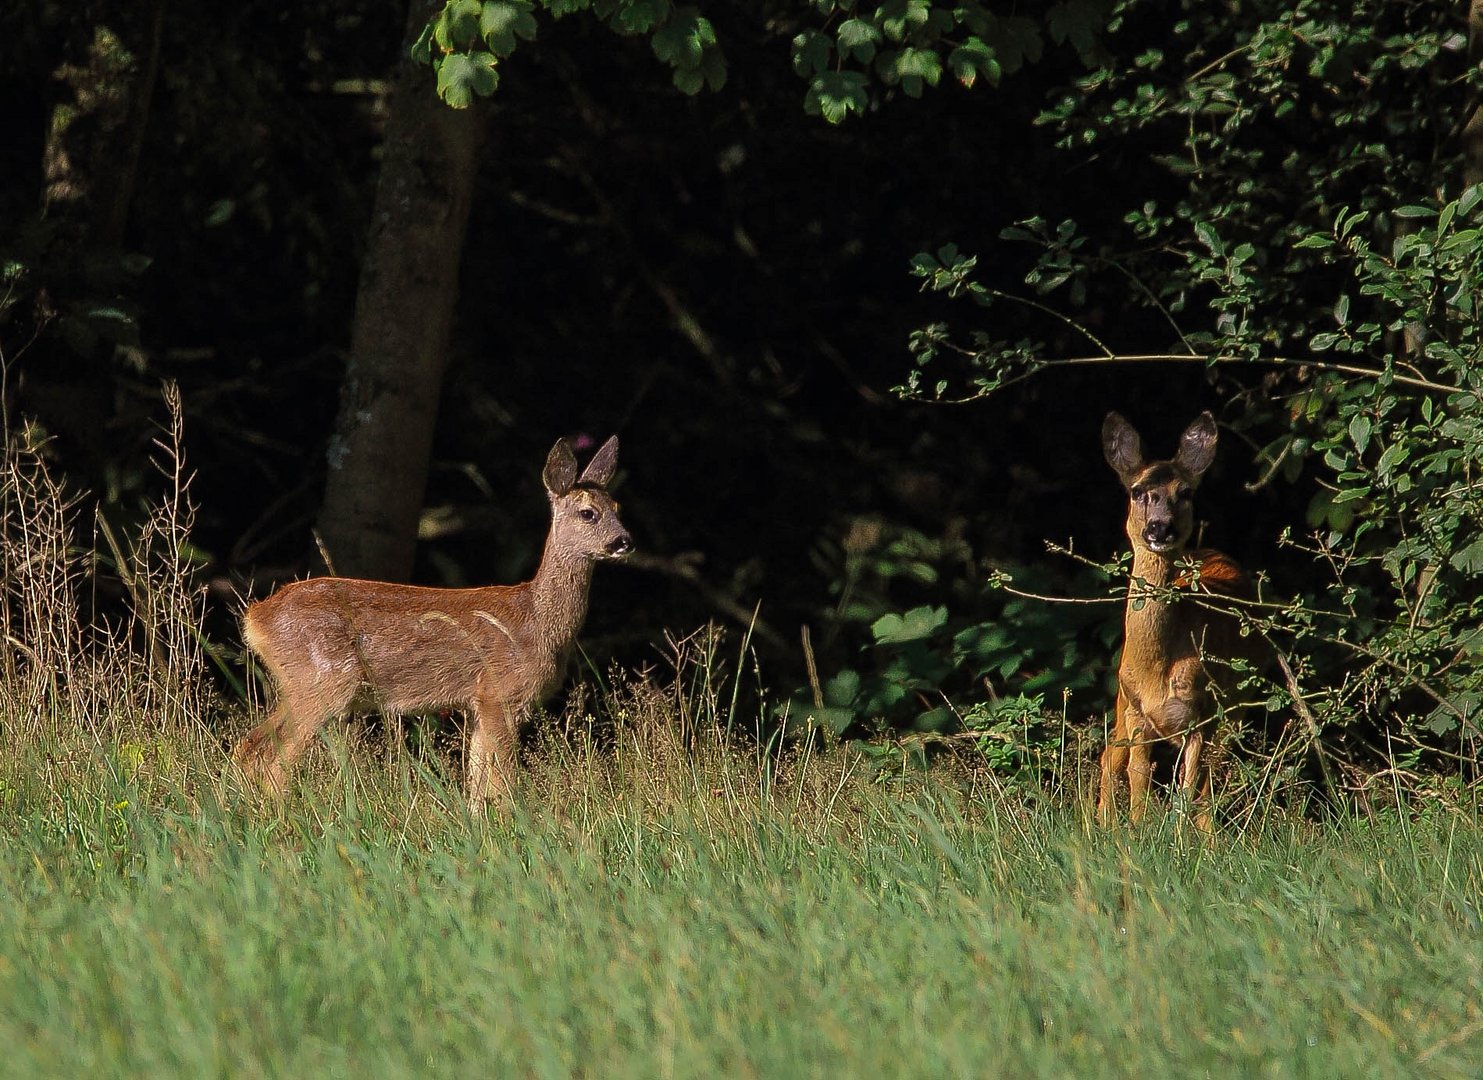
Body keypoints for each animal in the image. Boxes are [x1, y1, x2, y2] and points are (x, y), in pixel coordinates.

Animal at [232, 433, 631, 807]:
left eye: (616, 507)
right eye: (588, 513)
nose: (623, 541)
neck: (538, 622)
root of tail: (257, 617)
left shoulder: (477, 703)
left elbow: (478, 784)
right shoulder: (498, 692)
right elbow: (502, 784)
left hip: (298, 685)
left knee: (249, 746)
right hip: (323, 682)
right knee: (276, 760)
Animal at [1097, 412, 1257, 824]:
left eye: (1184, 492)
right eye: (1137, 491)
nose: (1159, 527)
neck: (1157, 666)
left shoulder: (1199, 712)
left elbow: (1188, 787)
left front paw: (1181, 837)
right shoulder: (1137, 711)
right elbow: (1139, 778)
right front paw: (1136, 830)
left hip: (1234, 705)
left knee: (1212, 776)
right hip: (1121, 703)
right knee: (1109, 757)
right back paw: (1098, 826)